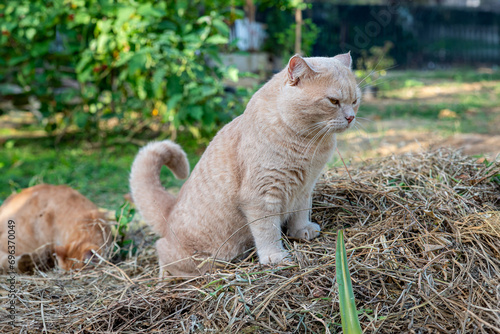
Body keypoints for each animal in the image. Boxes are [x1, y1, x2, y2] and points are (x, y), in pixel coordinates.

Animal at [131, 52, 362, 276]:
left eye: (355, 100)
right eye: (333, 101)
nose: (351, 117)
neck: (310, 145)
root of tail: (171, 208)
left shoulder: (305, 188)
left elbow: (300, 212)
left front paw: (301, 231)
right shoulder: (262, 196)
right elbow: (267, 231)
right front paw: (275, 257)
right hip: (203, 256)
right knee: (162, 250)